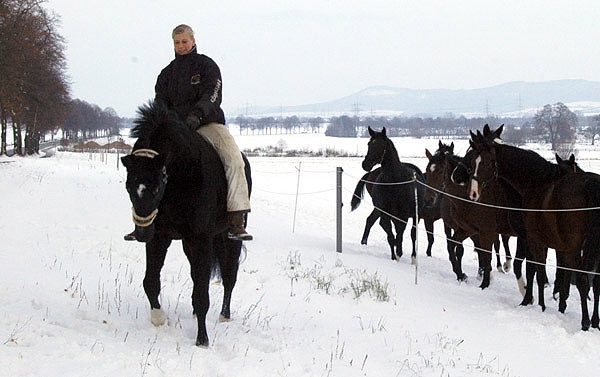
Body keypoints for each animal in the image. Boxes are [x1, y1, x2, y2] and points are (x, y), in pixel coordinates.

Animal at [122, 98, 251, 346]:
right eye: (128, 186)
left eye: (157, 186)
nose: (141, 233)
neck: (181, 176)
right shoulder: (160, 237)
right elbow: (150, 282)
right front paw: (159, 319)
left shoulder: (201, 239)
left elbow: (202, 294)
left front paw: (202, 339)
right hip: (188, 243)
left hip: (229, 238)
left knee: (229, 277)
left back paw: (224, 316)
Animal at [358, 126, 424, 262]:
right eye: (369, 144)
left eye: (380, 145)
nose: (365, 164)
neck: (394, 182)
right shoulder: (386, 214)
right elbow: (391, 236)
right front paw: (394, 257)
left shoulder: (403, 216)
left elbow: (400, 235)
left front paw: (398, 254)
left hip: (417, 214)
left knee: (412, 234)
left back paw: (413, 258)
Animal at [466, 124, 600, 328]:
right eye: (474, 160)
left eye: (487, 163)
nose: (473, 192)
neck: (536, 182)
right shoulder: (543, 243)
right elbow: (537, 271)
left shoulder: (534, 240)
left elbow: (536, 272)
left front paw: (538, 304)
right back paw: (594, 321)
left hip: (574, 248)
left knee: (583, 280)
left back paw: (585, 322)